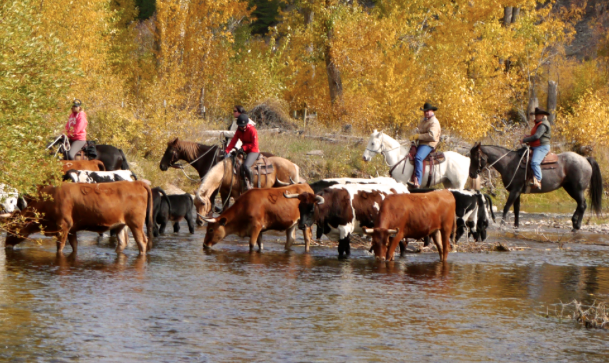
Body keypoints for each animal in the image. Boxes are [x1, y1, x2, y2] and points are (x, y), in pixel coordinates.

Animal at [4, 182, 153, 256]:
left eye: (12, 227)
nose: (6, 245)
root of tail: (137, 182)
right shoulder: (72, 229)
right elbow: (74, 246)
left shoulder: (63, 225)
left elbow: (60, 247)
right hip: (121, 224)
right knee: (122, 242)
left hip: (136, 223)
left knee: (142, 242)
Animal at [468, 144, 600, 232]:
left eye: (475, 157)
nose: (472, 174)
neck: (509, 163)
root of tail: (585, 159)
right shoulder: (517, 192)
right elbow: (516, 210)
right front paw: (516, 227)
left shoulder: (515, 191)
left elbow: (506, 208)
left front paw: (501, 226)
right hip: (570, 188)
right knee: (580, 204)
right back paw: (574, 223)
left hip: (577, 189)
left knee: (582, 205)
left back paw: (576, 226)